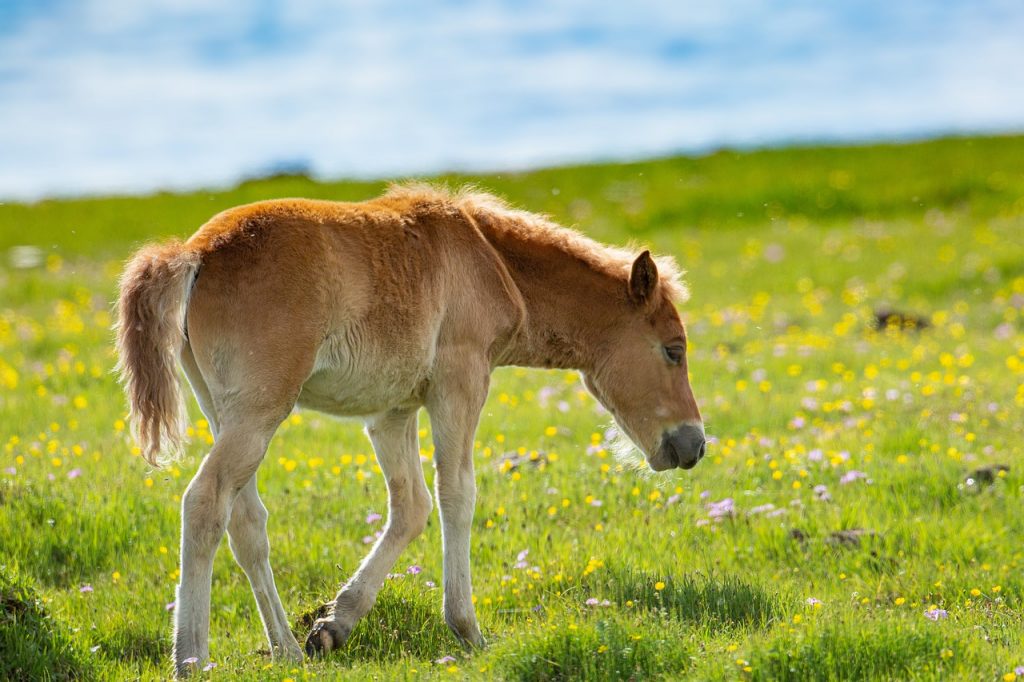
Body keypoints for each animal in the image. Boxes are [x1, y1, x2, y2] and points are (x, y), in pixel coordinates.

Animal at [112, 182, 704, 675]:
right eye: (673, 350)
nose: (694, 444)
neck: (491, 261)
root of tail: (193, 254)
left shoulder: (392, 412)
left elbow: (411, 507)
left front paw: (334, 625)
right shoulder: (459, 382)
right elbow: (456, 494)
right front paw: (468, 631)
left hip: (224, 411)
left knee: (246, 521)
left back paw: (285, 649)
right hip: (259, 412)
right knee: (205, 501)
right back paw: (190, 658)